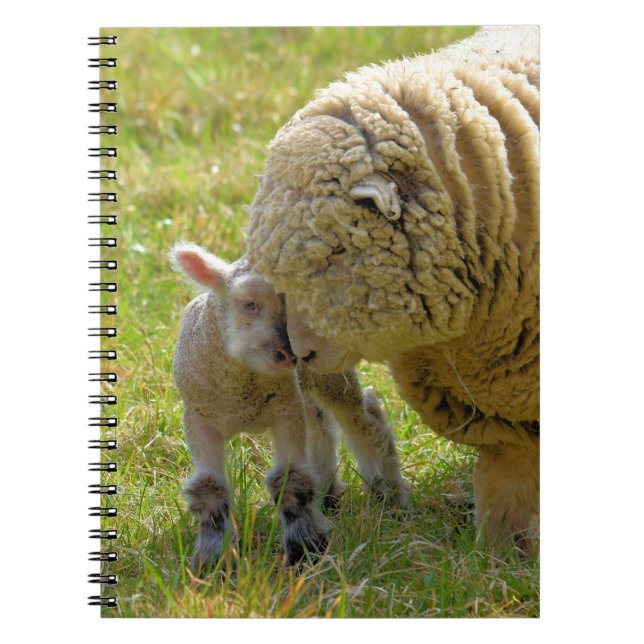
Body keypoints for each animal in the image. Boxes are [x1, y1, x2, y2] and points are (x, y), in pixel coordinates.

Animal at [170, 242, 407, 571]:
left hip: (329, 375)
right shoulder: (199, 417)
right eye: (249, 304)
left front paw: (305, 550)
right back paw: (329, 494)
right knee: (319, 421)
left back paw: (389, 494)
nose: (290, 352)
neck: (242, 393)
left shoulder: (284, 408)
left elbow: (291, 480)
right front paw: (214, 560)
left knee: (365, 421)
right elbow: (209, 488)